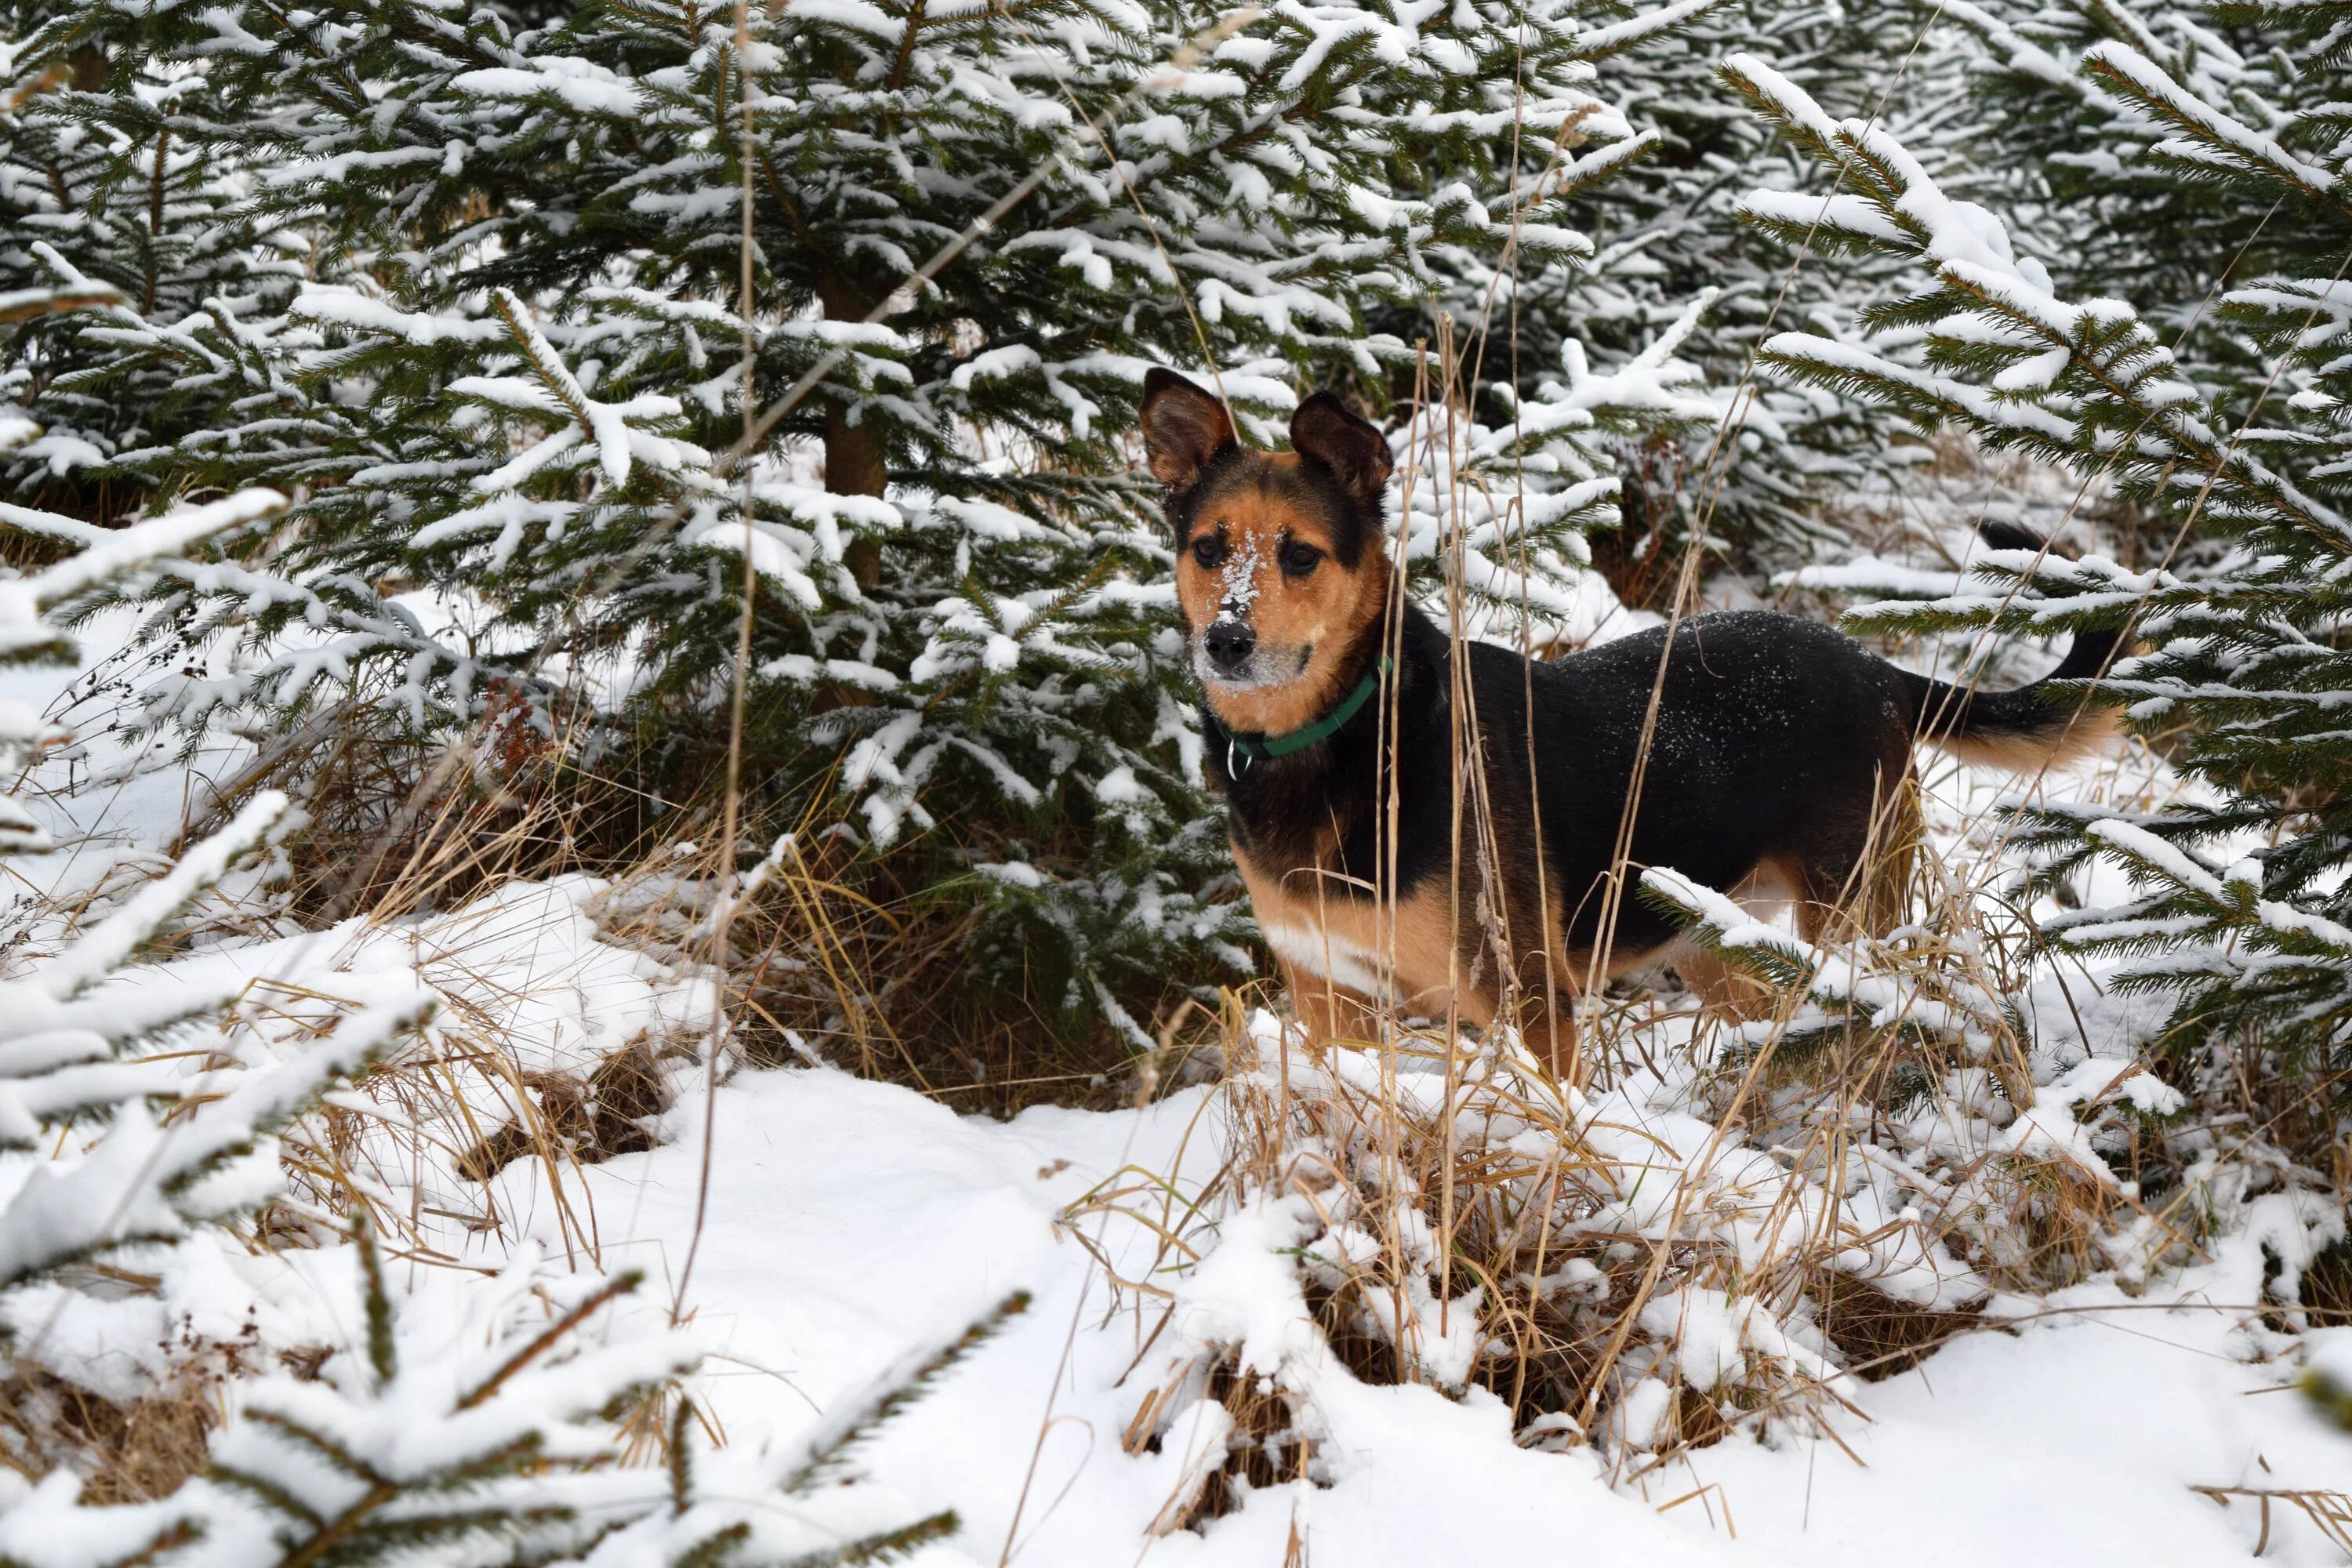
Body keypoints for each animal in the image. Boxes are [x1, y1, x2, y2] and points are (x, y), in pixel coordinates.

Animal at [1143, 368, 2136, 1081]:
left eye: (1302, 555)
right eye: (1209, 548)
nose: (1227, 642)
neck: (1341, 737)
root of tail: (1870, 666)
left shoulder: (1523, 993)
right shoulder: (1328, 994)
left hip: (1853, 909)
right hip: (1712, 938)